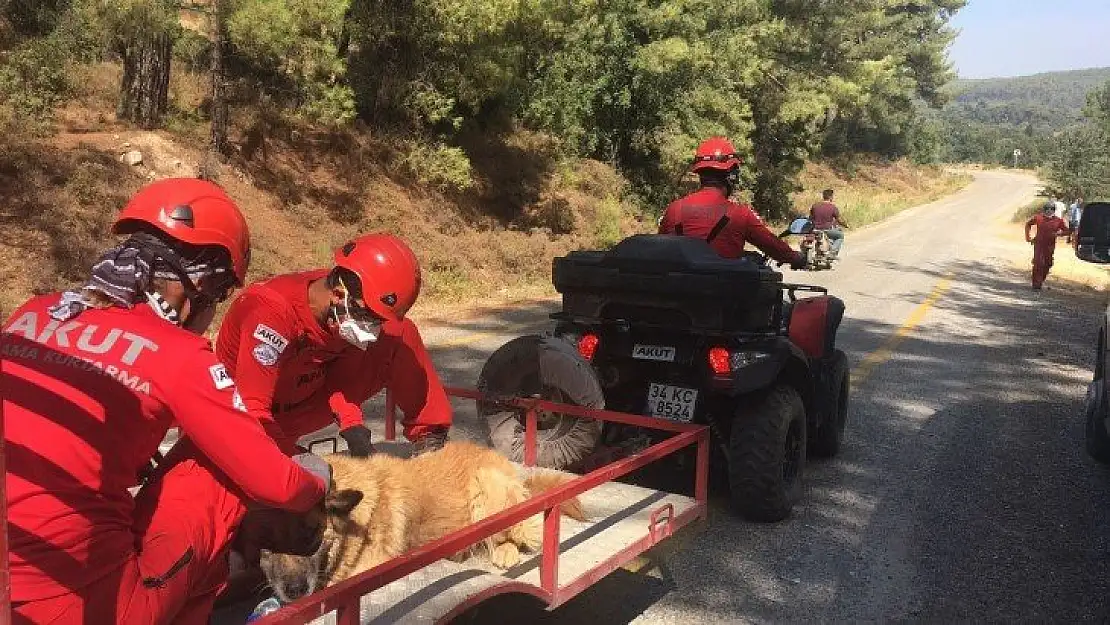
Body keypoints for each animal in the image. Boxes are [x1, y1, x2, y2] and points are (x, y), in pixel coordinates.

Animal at [260, 439, 590, 608]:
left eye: (310, 535)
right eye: (267, 542)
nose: (294, 591)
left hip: (489, 491)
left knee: (515, 529)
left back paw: (504, 552)